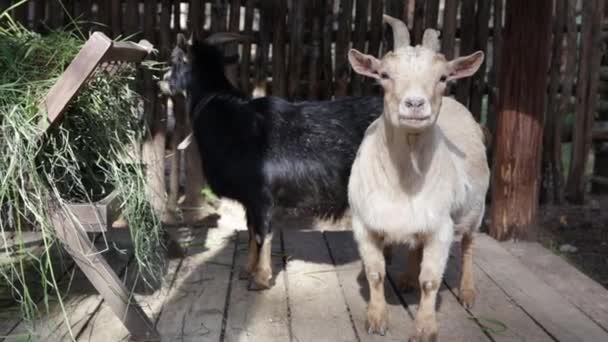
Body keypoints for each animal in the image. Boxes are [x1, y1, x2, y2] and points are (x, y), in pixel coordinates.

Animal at [159, 34, 382, 288]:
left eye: (175, 60)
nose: (161, 82)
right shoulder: (249, 199)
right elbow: (250, 230)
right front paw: (247, 269)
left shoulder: (261, 195)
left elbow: (262, 233)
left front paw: (261, 278)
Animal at [346, 15, 490, 340]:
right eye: (384, 75)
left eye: (443, 77)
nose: (415, 104)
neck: (405, 180)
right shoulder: (365, 223)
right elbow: (375, 273)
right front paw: (376, 319)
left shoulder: (441, 228)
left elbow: (431, 281)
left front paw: (425, 328)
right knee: (415, 246)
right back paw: (407, 278)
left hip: (476, 211)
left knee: (469, 245)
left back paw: (468, 292)